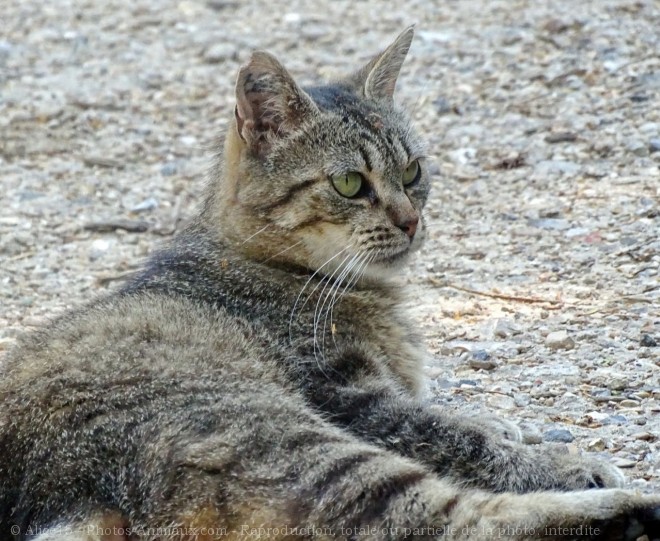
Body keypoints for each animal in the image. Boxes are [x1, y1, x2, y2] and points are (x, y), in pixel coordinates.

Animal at [1, 27, 660, 540]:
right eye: (349, 184)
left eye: (413, 171)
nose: (411, 220)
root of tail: (58, 493)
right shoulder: (354, 398)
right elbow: (460, 439)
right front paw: (559, 459)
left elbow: (457, 415)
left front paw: (496, 420)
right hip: (280, 438)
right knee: (447, 519)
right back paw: (623, 508)